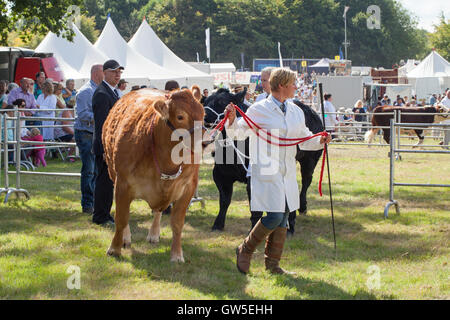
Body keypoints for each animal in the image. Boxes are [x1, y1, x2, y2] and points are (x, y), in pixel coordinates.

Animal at [103, 85, 203, 262]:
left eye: (203, 113)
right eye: (180, 116)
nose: (205, 142)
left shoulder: (188, 186)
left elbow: (177, 223)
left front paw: (177, 254)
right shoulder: (122, 184)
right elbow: (121, 218)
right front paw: (114, 248)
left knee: (158, 211)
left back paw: (154, 234)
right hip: (112, 172)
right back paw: (126, 238)